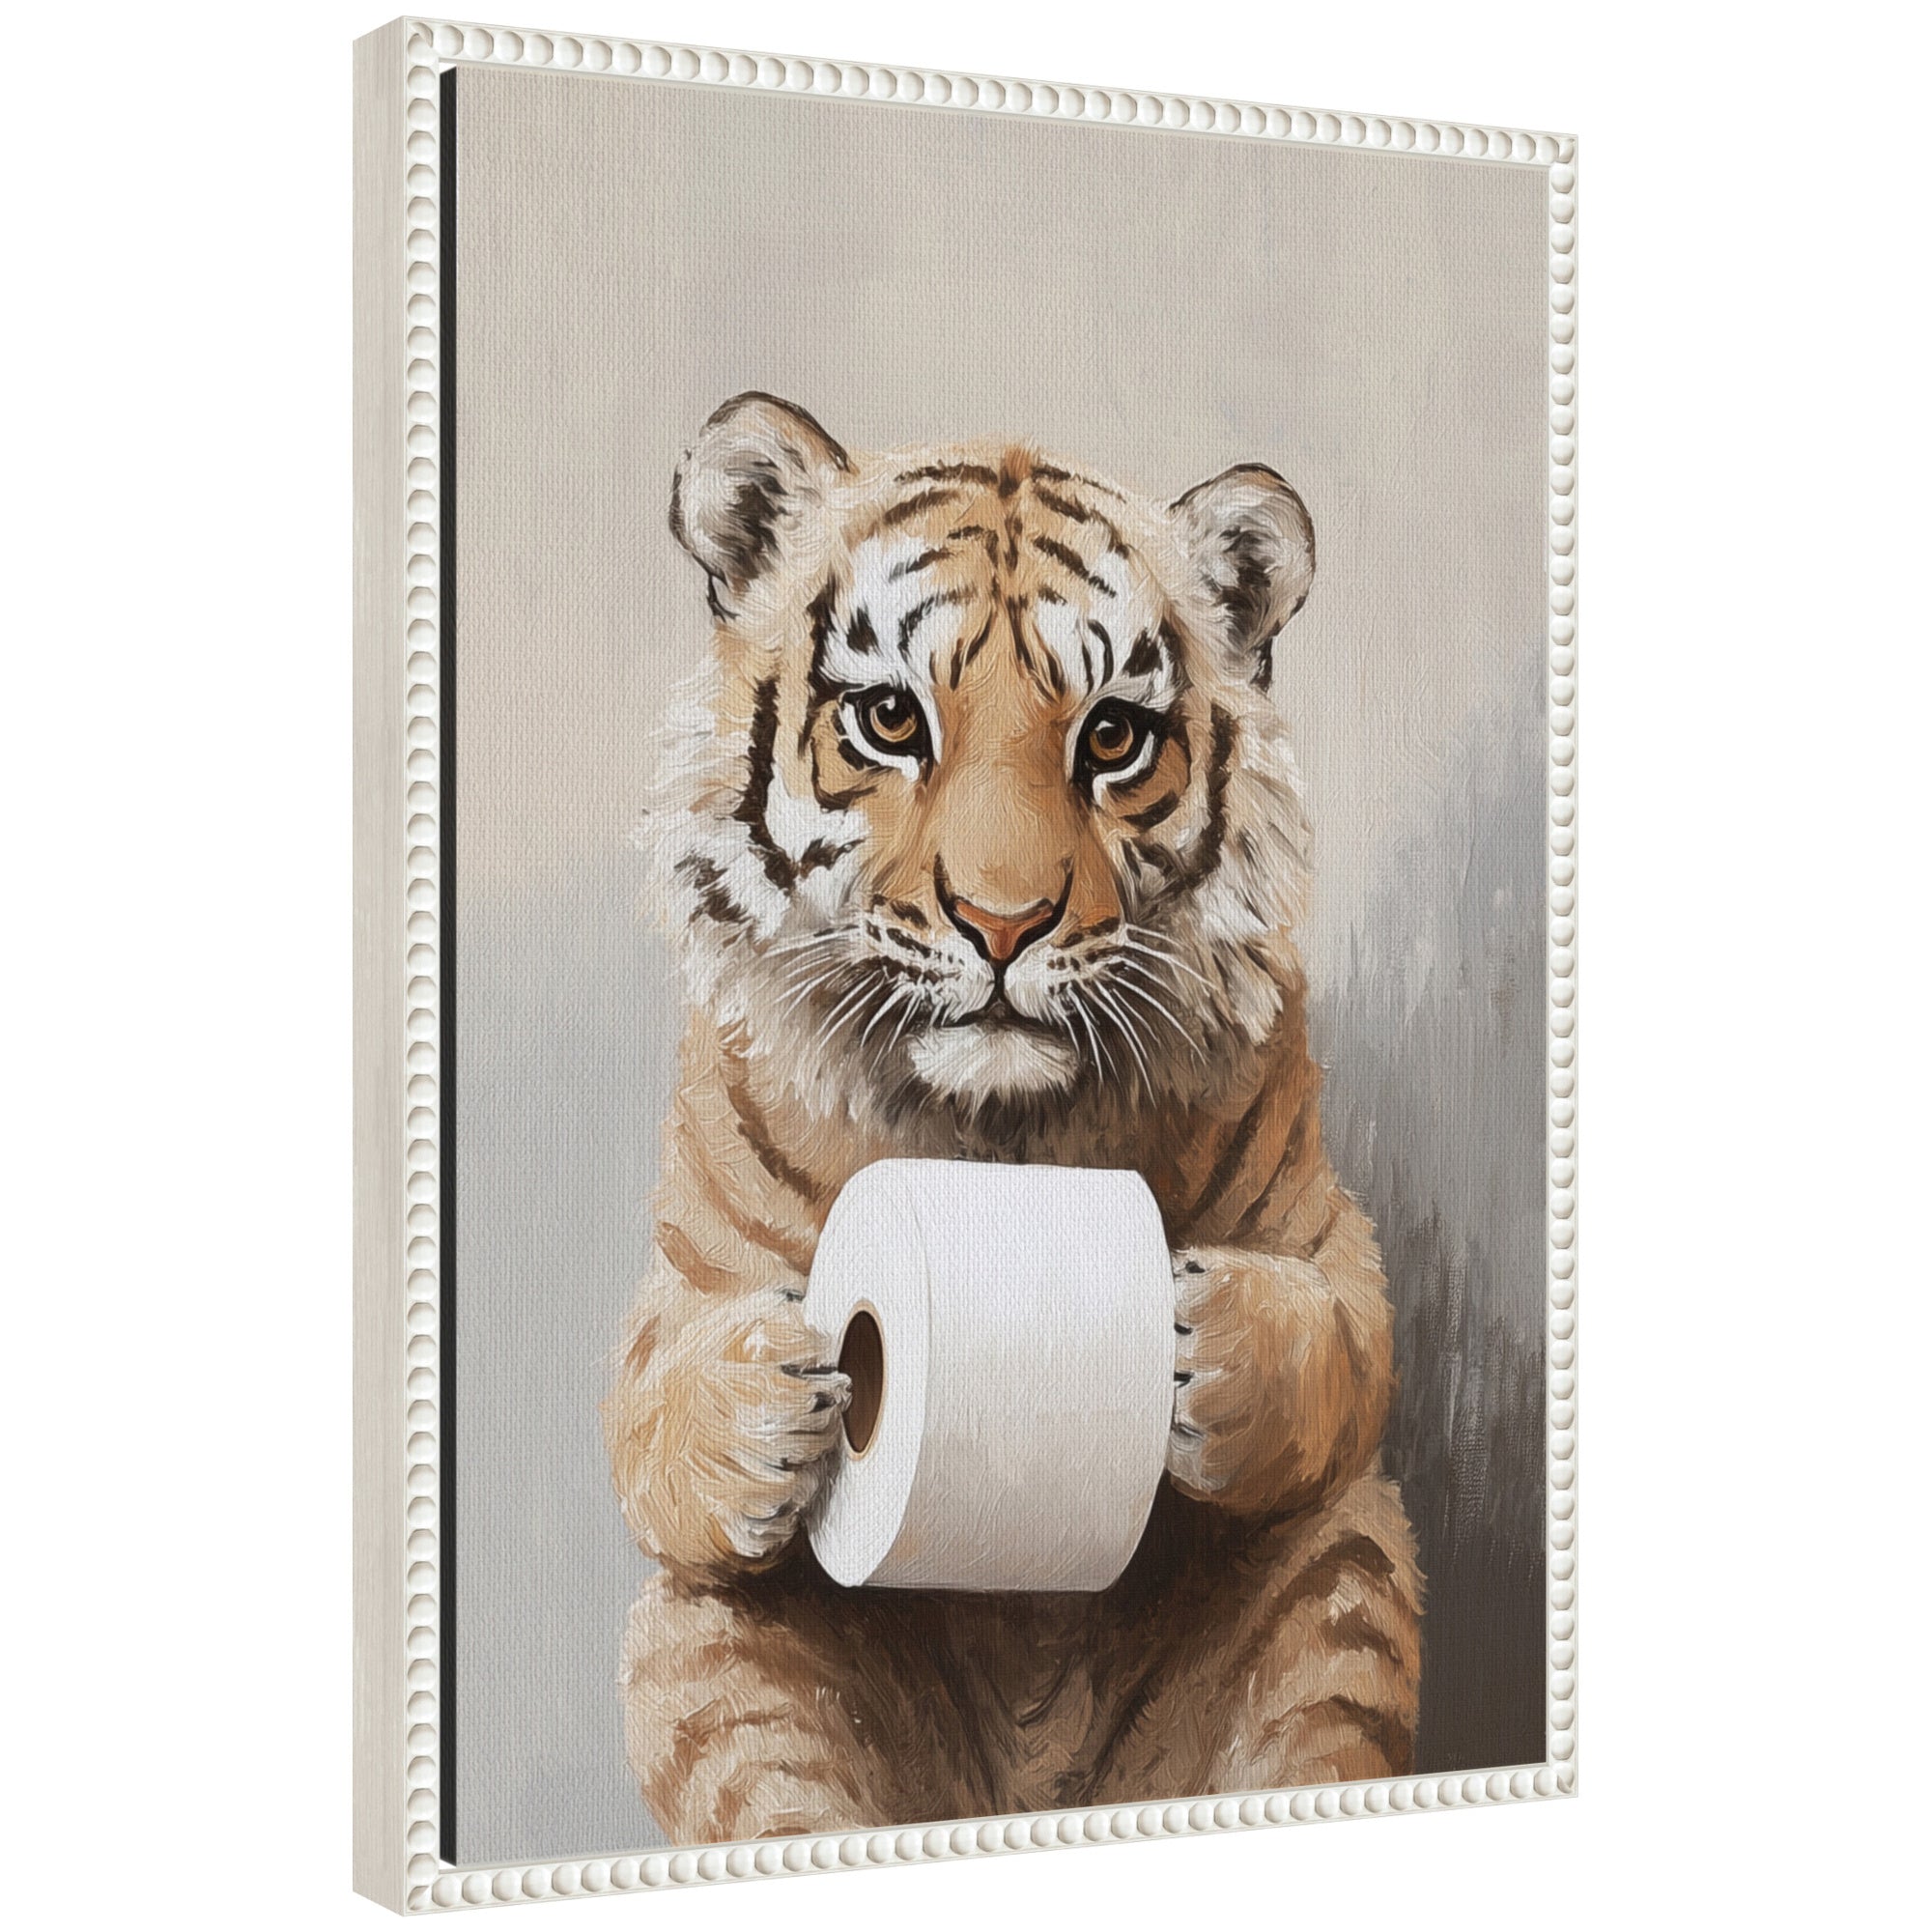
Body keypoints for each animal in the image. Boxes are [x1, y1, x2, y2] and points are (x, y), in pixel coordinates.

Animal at [603, 392, 1421, 1843]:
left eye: (1110, 738)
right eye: (888, 719)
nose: (1002, 923)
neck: (997, 1136)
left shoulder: (1321, 1223)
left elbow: (1348, 1333)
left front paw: (1218, 1343)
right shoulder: (688, 1270)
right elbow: (644, 1405)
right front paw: (763, 1403)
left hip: (1340, 1588)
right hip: (718, 1665)